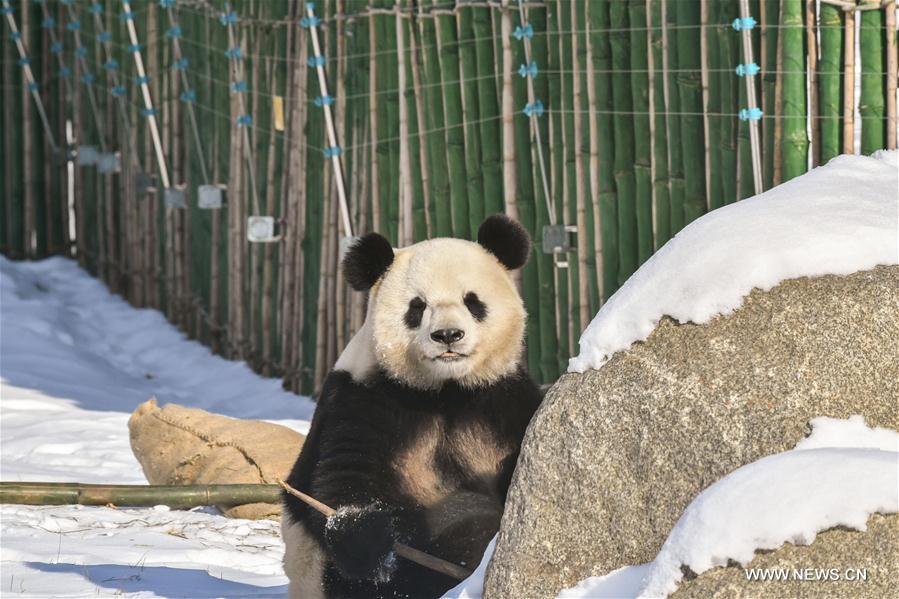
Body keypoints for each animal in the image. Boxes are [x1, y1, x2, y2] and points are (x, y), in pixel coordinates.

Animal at [281, 214, 543, 599]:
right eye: (417, 307)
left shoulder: (501, 400)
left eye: (472, 302)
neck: (446, 391)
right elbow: (343, 478)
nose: (448, 335)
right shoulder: (364, 399)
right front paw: (368, 538)